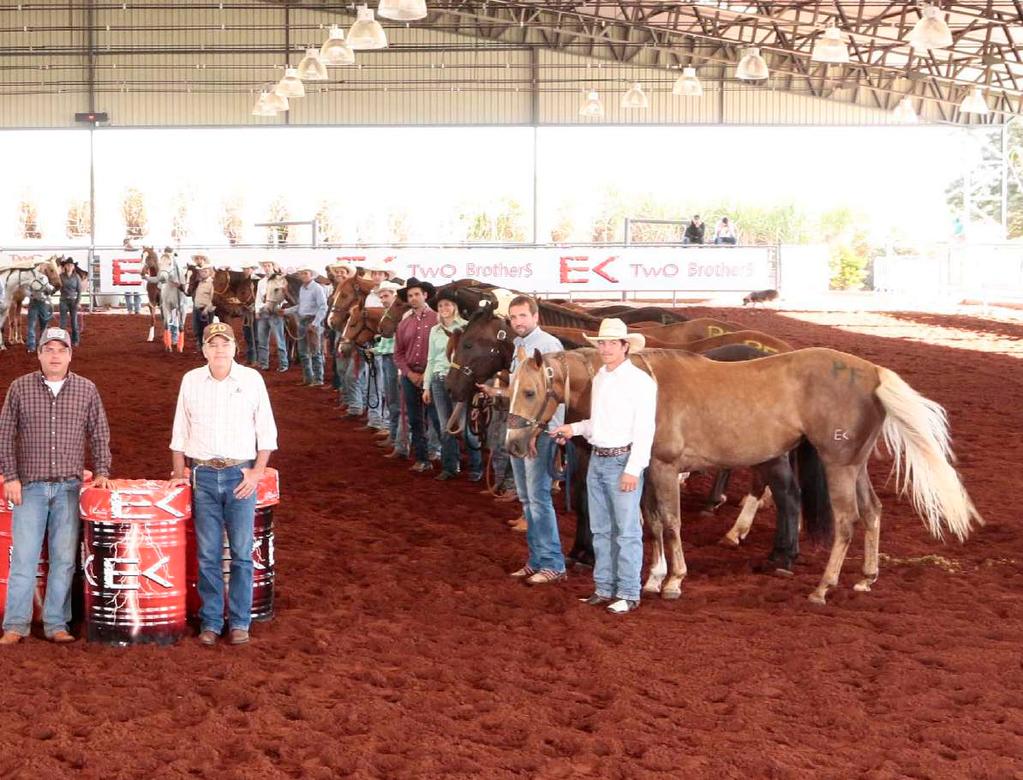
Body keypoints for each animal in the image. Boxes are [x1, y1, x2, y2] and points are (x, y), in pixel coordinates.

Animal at [507, 343, 977, 601]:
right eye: (508, 387)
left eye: (529, 391)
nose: (512, 443)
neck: (642, 386)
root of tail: (873, 373)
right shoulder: (646, 472)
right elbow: (654, 524)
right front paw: (654, 576)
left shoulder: (664, 469)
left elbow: (671, 524)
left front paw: (673, 580)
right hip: (854, 464)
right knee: (874, 512)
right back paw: (865, 579)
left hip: (837, 464)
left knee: (846, 522)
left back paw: (822, 587)